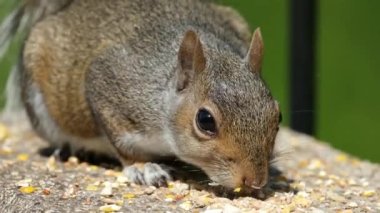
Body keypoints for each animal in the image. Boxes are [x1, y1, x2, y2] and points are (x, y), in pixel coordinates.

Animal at [0, 0, 282, 190]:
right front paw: (142, 168)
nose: (254, 180)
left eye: (278, 117)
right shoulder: (110, 85)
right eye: (205, 121)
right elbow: (124, 143)